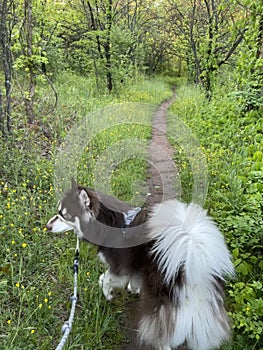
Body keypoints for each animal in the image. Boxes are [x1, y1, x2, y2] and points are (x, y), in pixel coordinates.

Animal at [46, 179, 234, 348]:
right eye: (58, 211)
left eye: (65, 216)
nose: (47, 227)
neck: (108, 222)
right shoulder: (134, 266)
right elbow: (131, 279)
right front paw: (133, 288)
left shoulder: (118, 267)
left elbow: (104, 279)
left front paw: (108, 294)